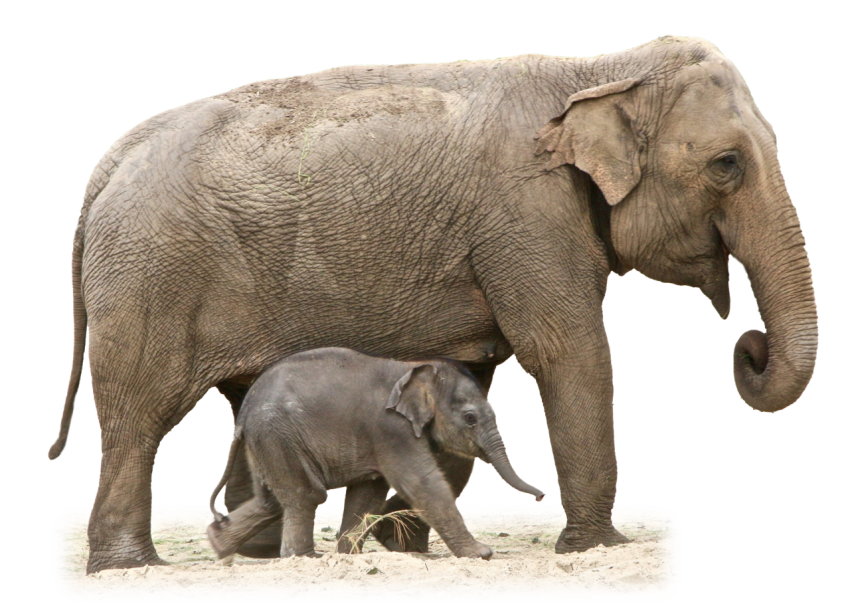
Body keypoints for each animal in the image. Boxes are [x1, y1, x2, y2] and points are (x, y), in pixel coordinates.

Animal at [205, 347, 546, 561]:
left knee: (272, 500)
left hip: (267, 441)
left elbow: (368, 492)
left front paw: (348, 557)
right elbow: (420, 483)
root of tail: (243, 415)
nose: (542, 496)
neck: (415, 368)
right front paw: (481, 554)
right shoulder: (390, 429)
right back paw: (304, 558)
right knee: (306, 495)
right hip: (278, 435)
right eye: (470, 418)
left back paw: (218, 545)